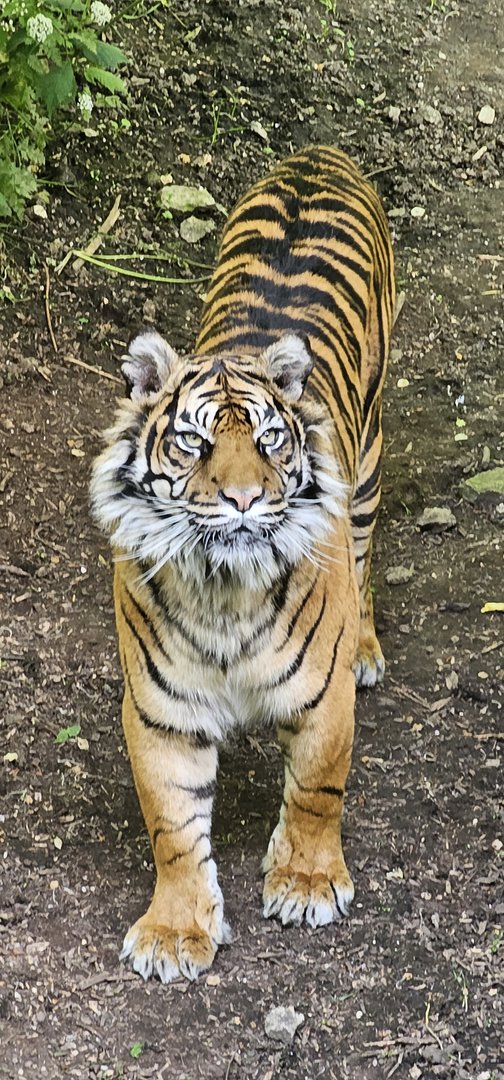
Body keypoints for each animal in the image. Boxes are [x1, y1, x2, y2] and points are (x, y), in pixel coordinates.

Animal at [90, 145, 395, 984]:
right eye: (194, 442)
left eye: (270, 439)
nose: (245, 498)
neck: (224, 592)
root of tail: (321, 153)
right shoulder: (160, 711)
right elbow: (173, 829)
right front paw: (175, 931)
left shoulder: (322, 699)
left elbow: (319, 787)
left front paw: (308, 883)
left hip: (370, 462)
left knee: (364, 557)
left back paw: (368, 645)